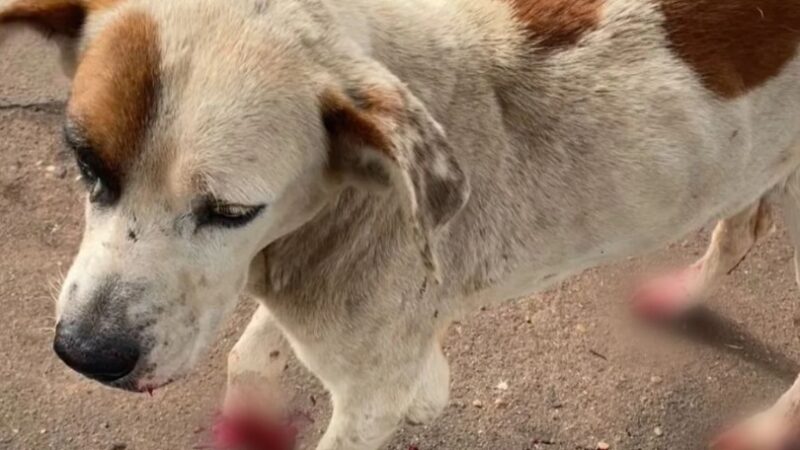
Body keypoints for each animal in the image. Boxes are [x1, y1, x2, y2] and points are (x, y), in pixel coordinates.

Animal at [1, 0, 800, 448]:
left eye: (230, 212)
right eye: (85, 161)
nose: (86, 355)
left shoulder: (371, 395)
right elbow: (250, 358)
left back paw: (768, 430)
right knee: (744, 226)